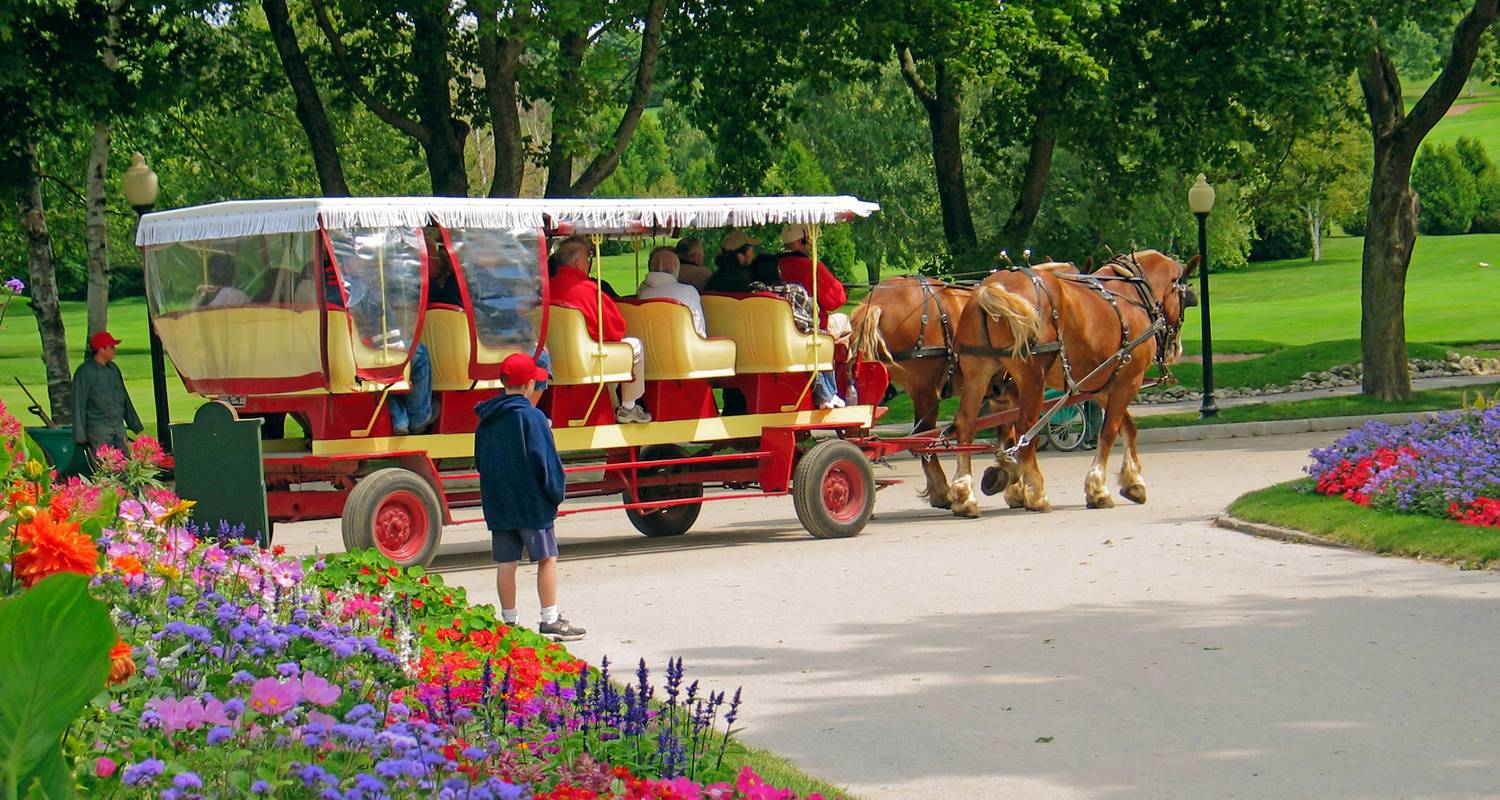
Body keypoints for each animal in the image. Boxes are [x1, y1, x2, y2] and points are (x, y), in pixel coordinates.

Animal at [942, 249, 1200, 516]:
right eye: (1184, 296)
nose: (1176, 348)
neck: (1132, 294)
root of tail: (991, 288)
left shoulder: (1101, 383)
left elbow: (1128, 427)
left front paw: (1133, 481)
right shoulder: (1128, 380)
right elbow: (1109, 432)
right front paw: (1098, 489)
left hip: (978, 373)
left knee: (966, 424)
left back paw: (965, 494)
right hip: (1032, 378)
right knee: (1026, 429)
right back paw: (1036, 493)